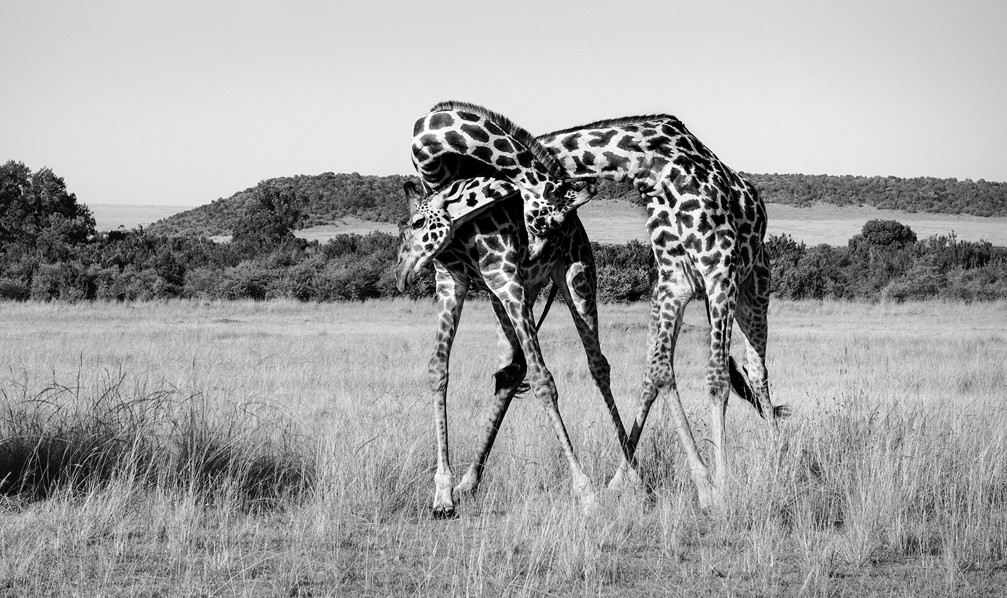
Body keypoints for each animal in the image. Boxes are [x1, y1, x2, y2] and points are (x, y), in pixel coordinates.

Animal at [394, 174, 624, 515]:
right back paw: (467, 484)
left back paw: (629, 475)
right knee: (511, 373)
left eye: (418, 222)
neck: (464, 237)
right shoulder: (452, 283)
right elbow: (438, 370)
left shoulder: (507, 280)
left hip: (576, 278)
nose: (401, 275)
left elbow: (544, 382)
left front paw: (585, 491)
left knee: (598, 366)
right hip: (513, 294)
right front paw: (442, 494)